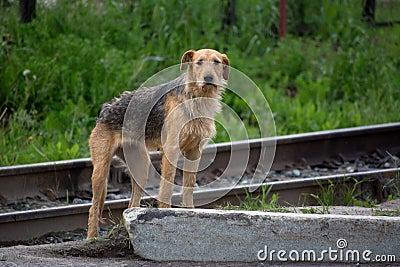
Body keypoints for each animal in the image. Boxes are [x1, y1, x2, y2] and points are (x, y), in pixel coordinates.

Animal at [88, 49, 230, 240]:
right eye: (199, 62)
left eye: (216, 62)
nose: (208, 78)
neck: (197, 98)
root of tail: (104, 109)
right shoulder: (171, 150)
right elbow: (167, 189)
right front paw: (166, 215)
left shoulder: (194, 152)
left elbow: (188, 188)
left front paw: (190, 213)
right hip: (101, 173)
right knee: (93, 208)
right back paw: (91, 238)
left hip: (141, 168)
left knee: (131, 204)